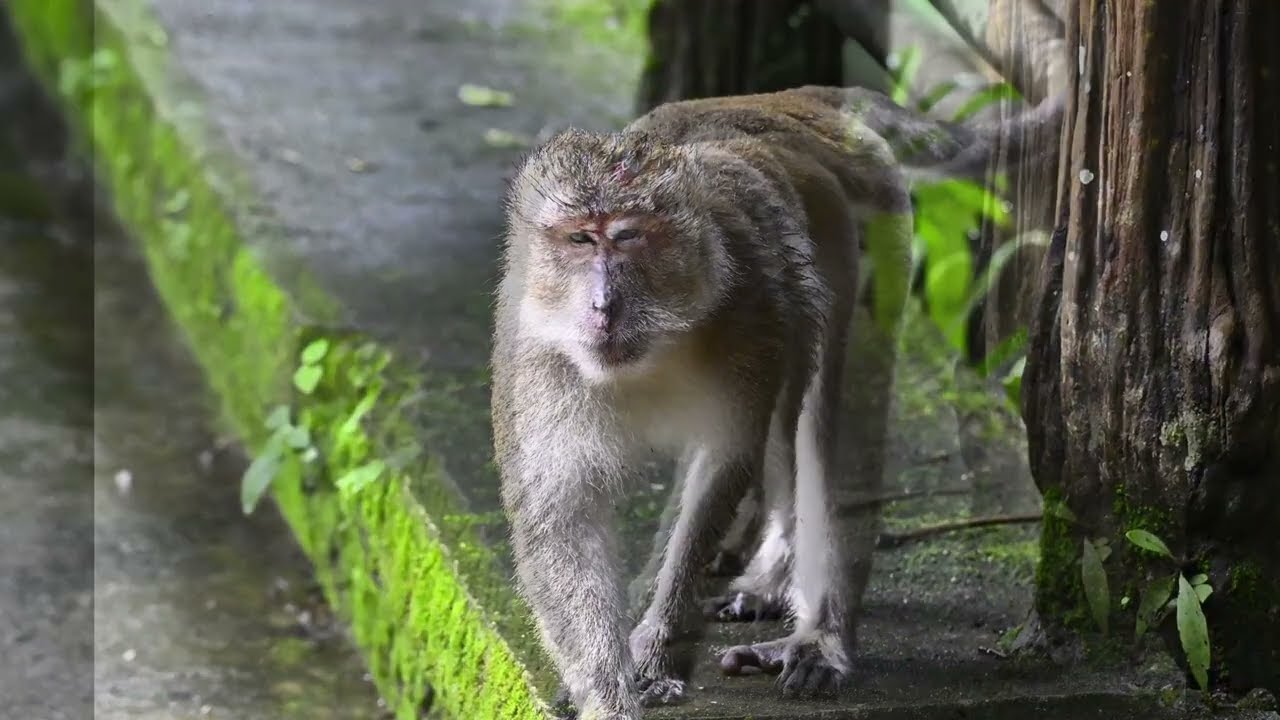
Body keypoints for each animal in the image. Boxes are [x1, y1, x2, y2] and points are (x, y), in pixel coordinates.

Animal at [492, 84, 1064, 719]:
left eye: (629, 236)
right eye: (579, 239)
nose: (601, 305)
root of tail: (788, 100)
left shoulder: (752, 309)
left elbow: (724, 466)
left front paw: (656, 648)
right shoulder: (533, 351)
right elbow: (561, 516)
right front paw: (607, 692)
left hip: (875, 228)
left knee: (829, 404)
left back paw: (821, 634)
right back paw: (763, 578)